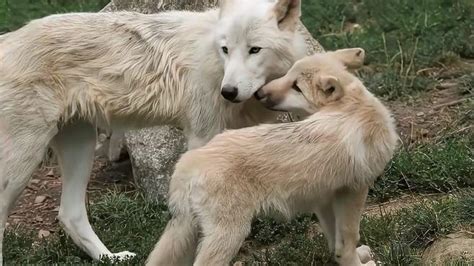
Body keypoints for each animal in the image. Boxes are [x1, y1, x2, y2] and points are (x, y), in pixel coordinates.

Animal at [0, 0, 308, 262]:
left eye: (254, 49)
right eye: (226, 49)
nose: (228, 91)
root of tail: (7, 39)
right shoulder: (202, 137)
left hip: (81, 145)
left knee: (69, 214)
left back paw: (110, 258)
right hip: (22, 164)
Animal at [146, 47, 398, 266]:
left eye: (296, 86)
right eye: (289, 75)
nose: (259, 93)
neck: (352, 105)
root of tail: (190, 162)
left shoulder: (326, 197)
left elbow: (335, 241)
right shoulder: (355, 191)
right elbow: (348, 240)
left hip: (186, 232)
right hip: (230, 235)